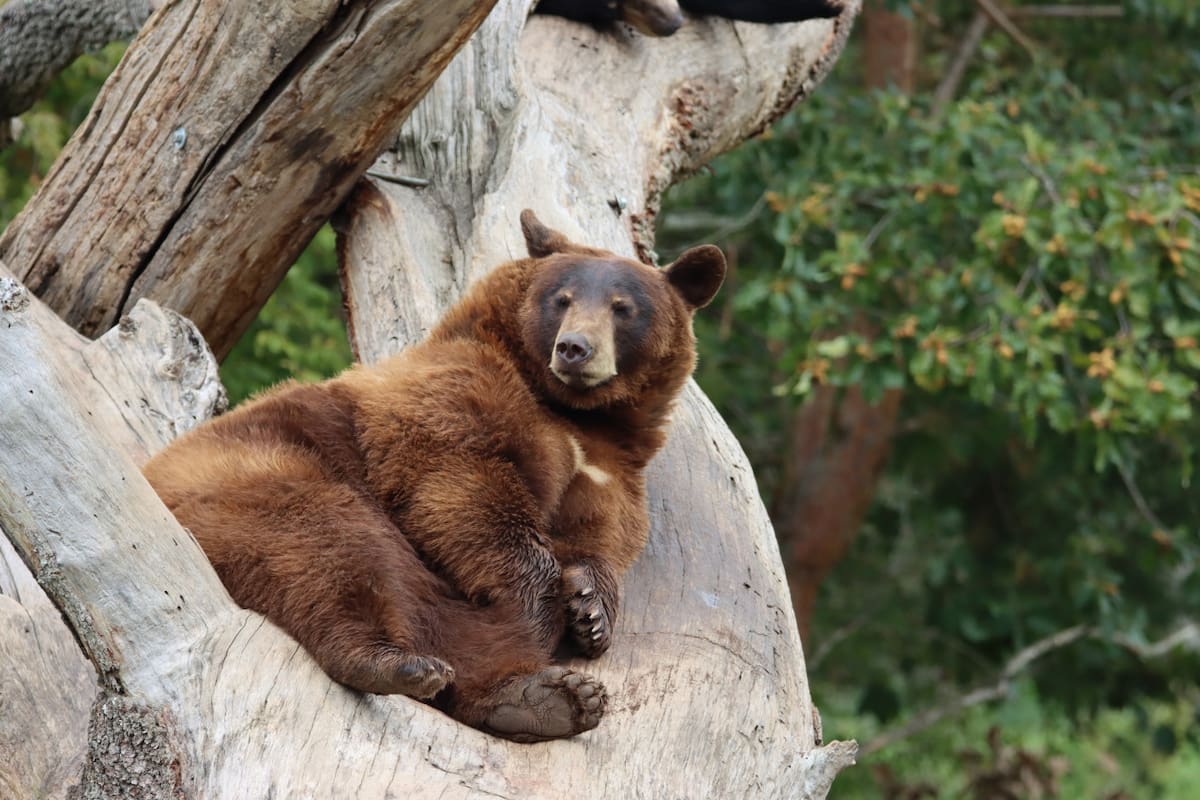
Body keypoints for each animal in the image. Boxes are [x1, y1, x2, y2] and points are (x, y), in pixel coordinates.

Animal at [143, 210, 726, 742]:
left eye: (623, 308)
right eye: (561, 298)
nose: (574, 348)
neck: (574, 411)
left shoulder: (610, 467)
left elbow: (601, 534)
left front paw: (591, 612)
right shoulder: (455, 393)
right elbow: (462, 483)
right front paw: (540, 605)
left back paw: (545, 699)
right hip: (260, 476)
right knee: (331, 549)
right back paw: (398, 664)